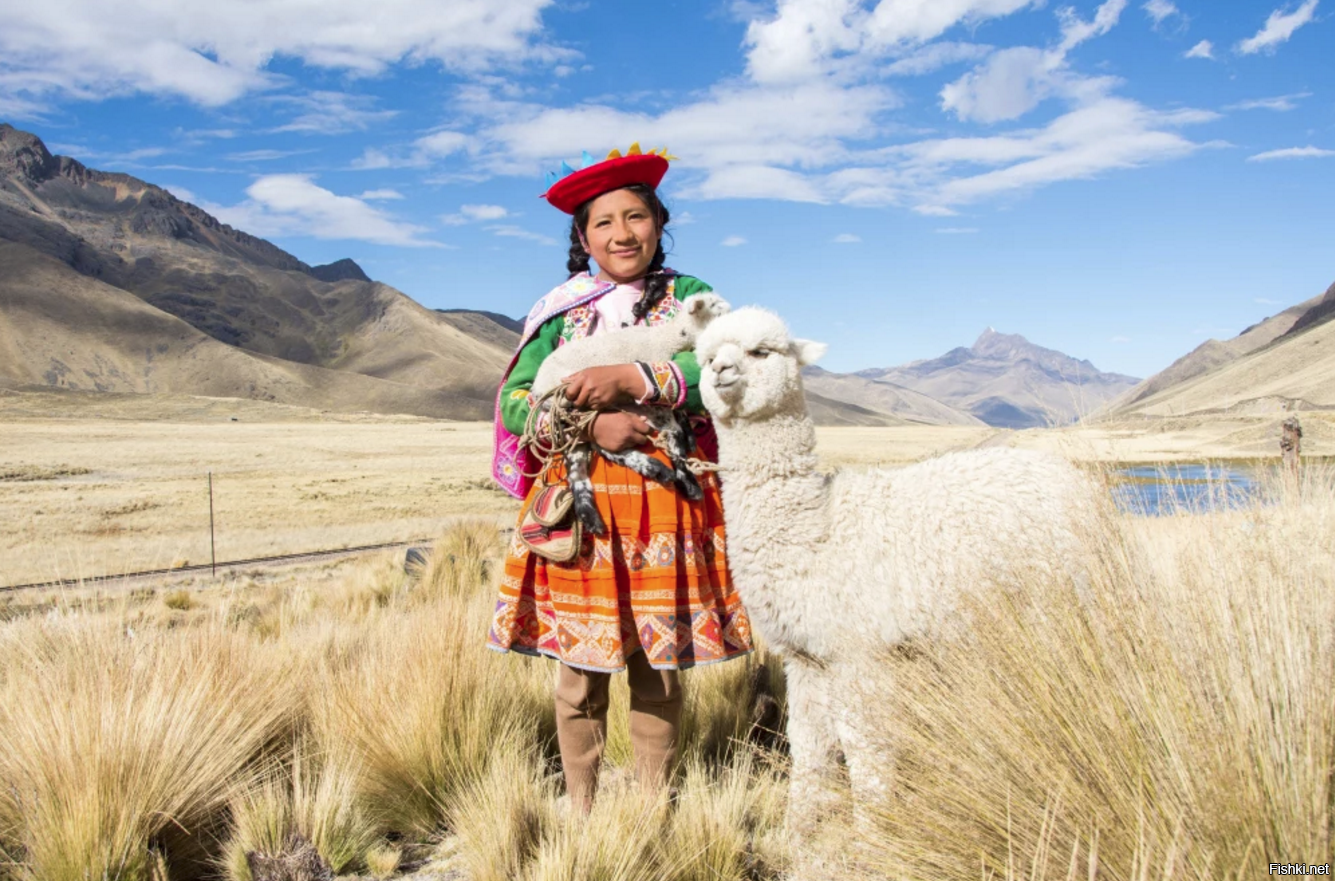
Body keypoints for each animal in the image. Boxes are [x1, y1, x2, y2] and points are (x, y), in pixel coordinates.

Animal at [529, 292, 731, 535]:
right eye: (717, 315)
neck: (666, 339)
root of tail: (538, 387)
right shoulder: (650, 402)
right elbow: (672, 433)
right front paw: (688, 480)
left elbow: (678, 412)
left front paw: (690, 436)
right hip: (576, 406)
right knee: (595, 449)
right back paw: (658, 471)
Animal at [694, 306, 1100, 838]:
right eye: (706, 357)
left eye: (761, 351)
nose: (722, 371)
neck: (818, 529)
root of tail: (1080, 486)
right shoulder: (806, 657)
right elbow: (809, 744)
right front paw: (796, 830)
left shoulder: (859, 652)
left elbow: (864, 746)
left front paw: (870, 833)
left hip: (1062, 602)